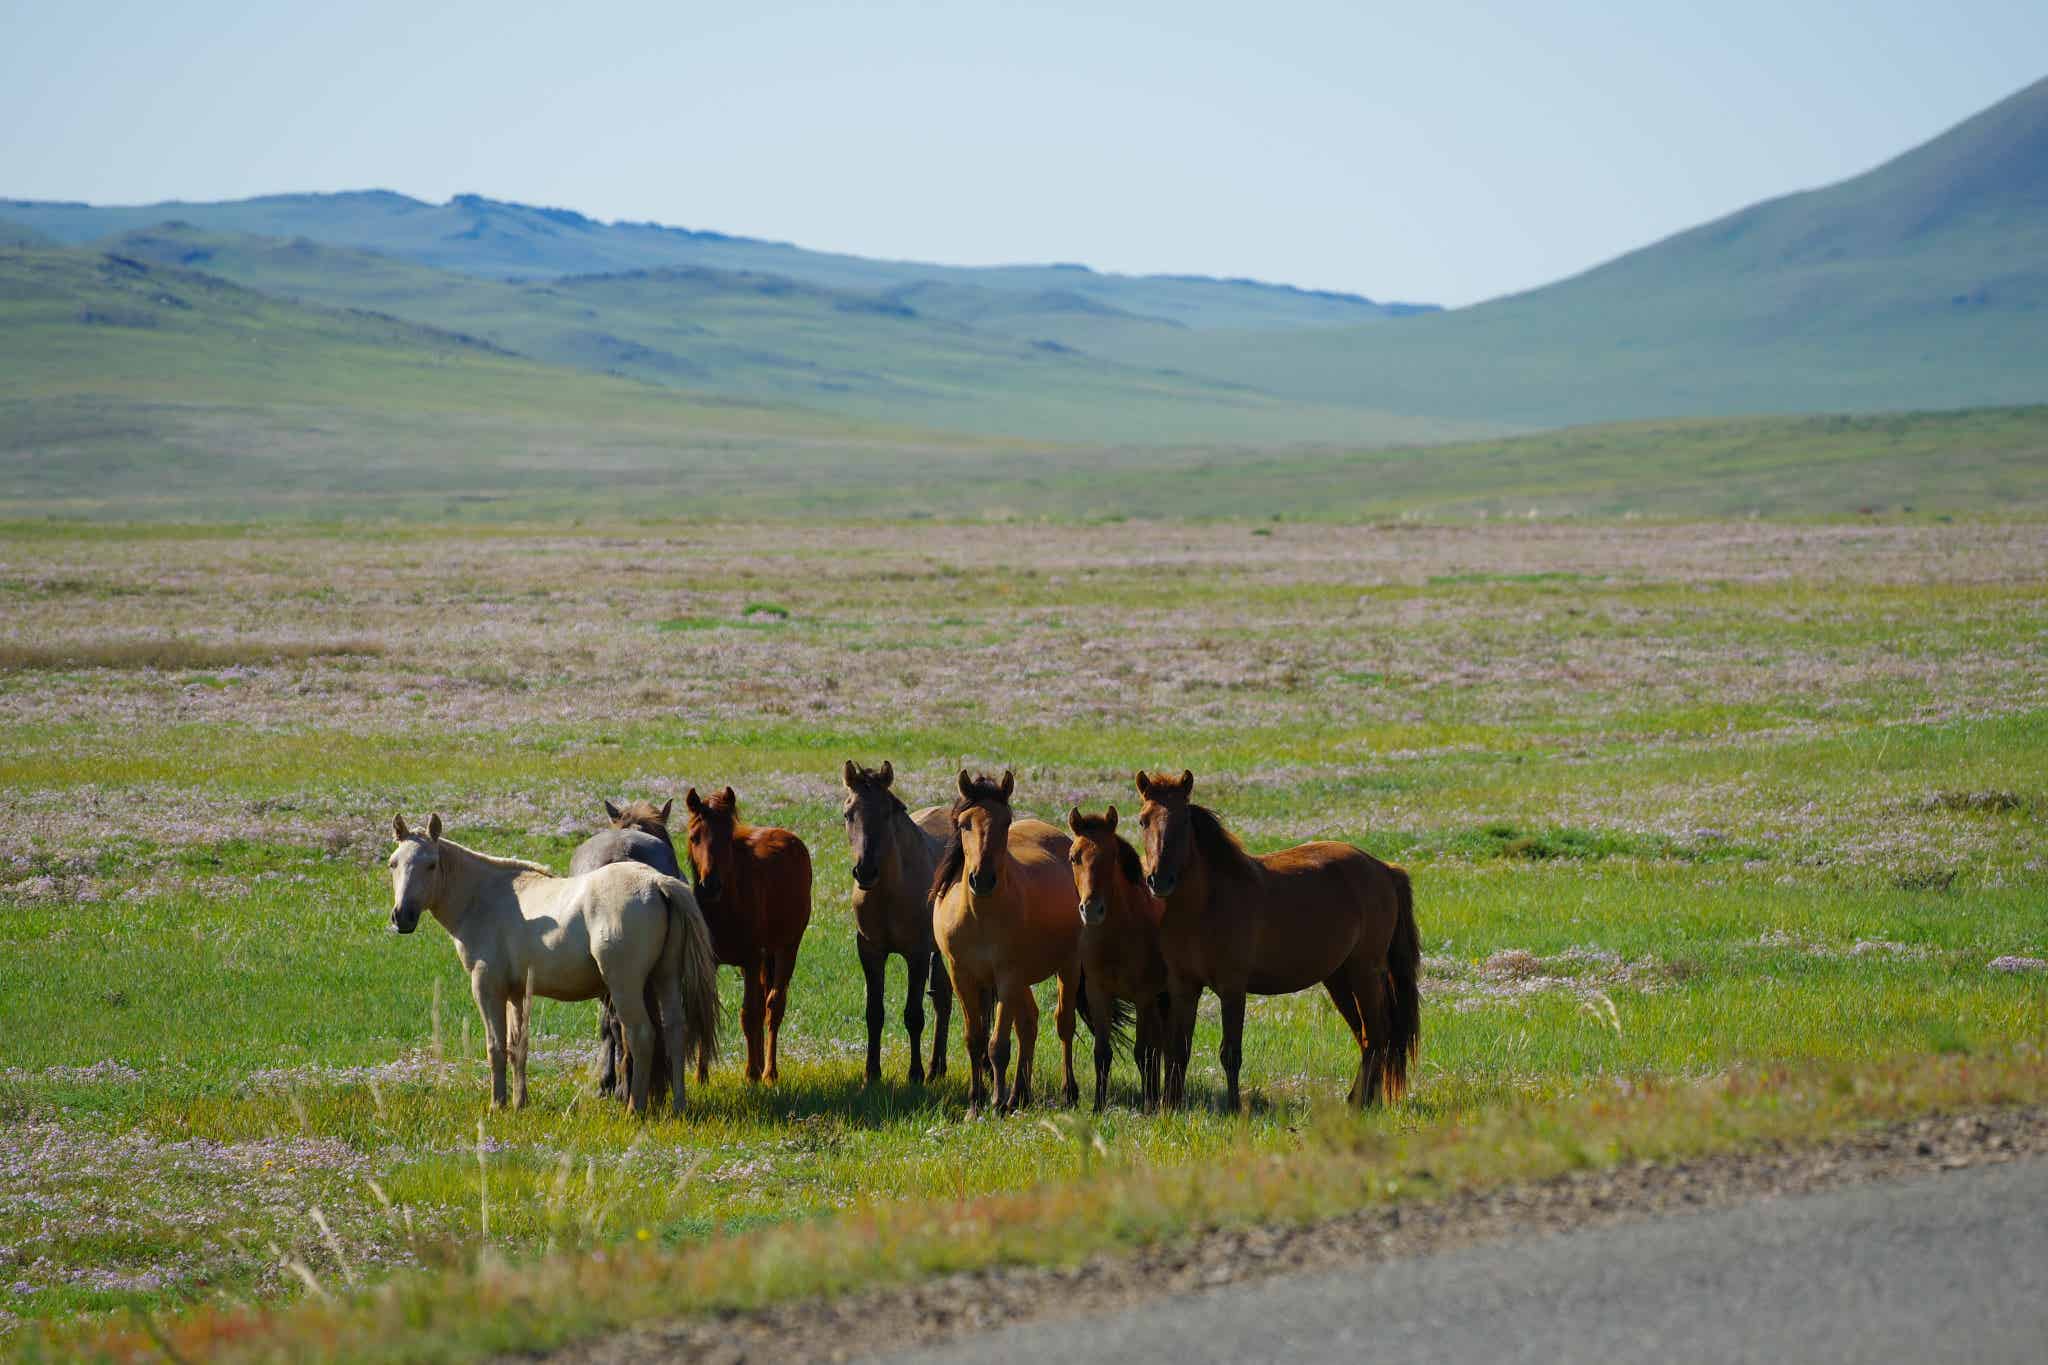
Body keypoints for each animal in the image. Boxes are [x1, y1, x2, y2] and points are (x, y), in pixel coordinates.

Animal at [682, 785, 813, 1084]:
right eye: (695, 837)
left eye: (727, 839)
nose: (710, 885)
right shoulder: (710, 963)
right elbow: (707, 1011)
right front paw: (701, 1075)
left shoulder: (751, 960)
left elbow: (749, 1015)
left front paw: (751, 1073)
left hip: (787, 948)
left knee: (773, 1006)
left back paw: (768, 1071)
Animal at [842, 760, 954, 1084]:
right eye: (848, 814)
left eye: (886, 812)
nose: (865, 871)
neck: (889, 893)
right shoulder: (870, 951)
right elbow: (874, 1013)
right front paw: (871, 1073)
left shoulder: (916, 953)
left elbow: (913, 1015)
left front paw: (915, 1074)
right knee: (943, 998)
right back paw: (937, 1067)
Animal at [929, 769, 1082, 1116]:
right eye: (964, 824)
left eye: (1005, 822)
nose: (982, 879)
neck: (979, 915)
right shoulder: (962, 976)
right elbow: (975, 1039)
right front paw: (976, 1101)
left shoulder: (1007, 975)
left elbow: (998, 1045)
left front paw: (996, 1102)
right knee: (1029, 1023)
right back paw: (1019, 1095)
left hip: (1068, 965)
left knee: (1063, 1025)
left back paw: (1068, 1092)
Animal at [1066, 806, 1167, 1111]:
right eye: (1074, 857)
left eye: (1111, 856)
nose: (1092, 909)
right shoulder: (1099, 994)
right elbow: (1102, 1052)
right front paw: (1098, 1106)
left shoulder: (1144, 996)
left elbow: (1143, 1052)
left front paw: (1148, 1105)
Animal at [1132, 769, 1420, 1112]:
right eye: (1143, 820)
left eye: (1184, 820)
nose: (1159, 880)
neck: (1204, 905)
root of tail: (1384, 869)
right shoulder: (1184, 986)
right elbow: (1179, 1050)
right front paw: (1171, 1106)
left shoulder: (1232, 987)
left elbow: (1230, 1053)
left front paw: (1234, 1108)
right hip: (1339, 978)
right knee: (1367, 1037)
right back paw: (1360, 1101)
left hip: (1365, 973)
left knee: (1377, 1035)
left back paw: (1361, 1105)